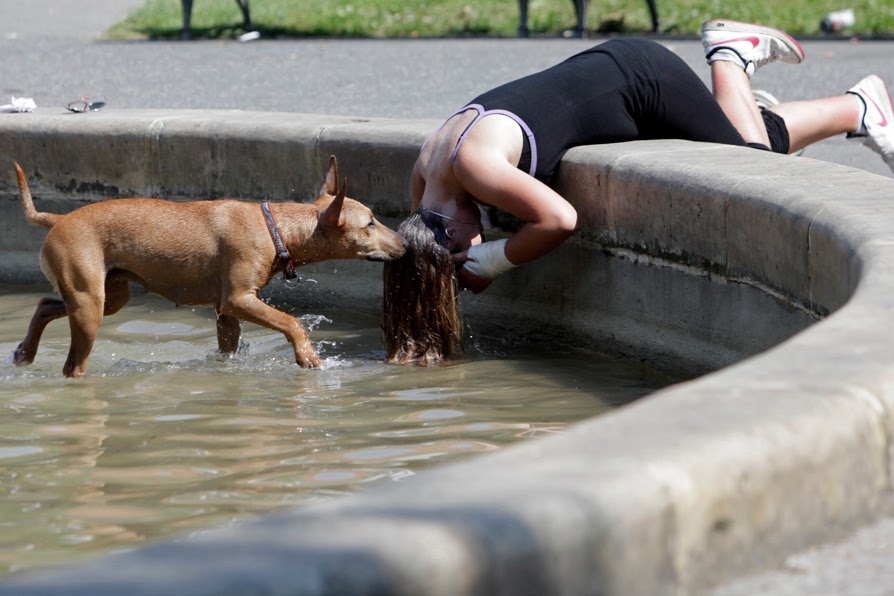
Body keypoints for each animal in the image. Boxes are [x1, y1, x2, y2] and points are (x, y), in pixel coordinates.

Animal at [13, 155, 406, 378]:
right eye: (370, 223)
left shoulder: (225, 311)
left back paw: (24, 352)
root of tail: (57, 218)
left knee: (45, 304)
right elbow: (291, 321)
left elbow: (228, 348)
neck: (274, 228)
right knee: (72, 366)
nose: (404, 242)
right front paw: (308, 356)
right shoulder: (238, 299)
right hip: (89, 304)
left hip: (109, 296)